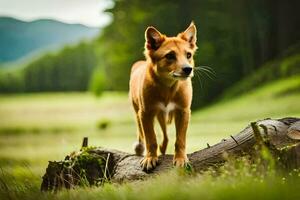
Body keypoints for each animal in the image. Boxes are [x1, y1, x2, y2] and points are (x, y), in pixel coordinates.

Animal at [129, 22, 197, 171]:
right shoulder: (145, 113)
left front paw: (180, 159)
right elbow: (150, 138)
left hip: (162, 115)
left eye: (188, 55)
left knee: (165, 137)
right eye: (170, 55)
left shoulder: (183, 111)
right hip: (138, 111)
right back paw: (140, 147)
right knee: (141, 132)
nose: (188, 69)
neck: (168, 87)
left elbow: (180, 139)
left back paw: (163, 148)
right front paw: (150, 158)